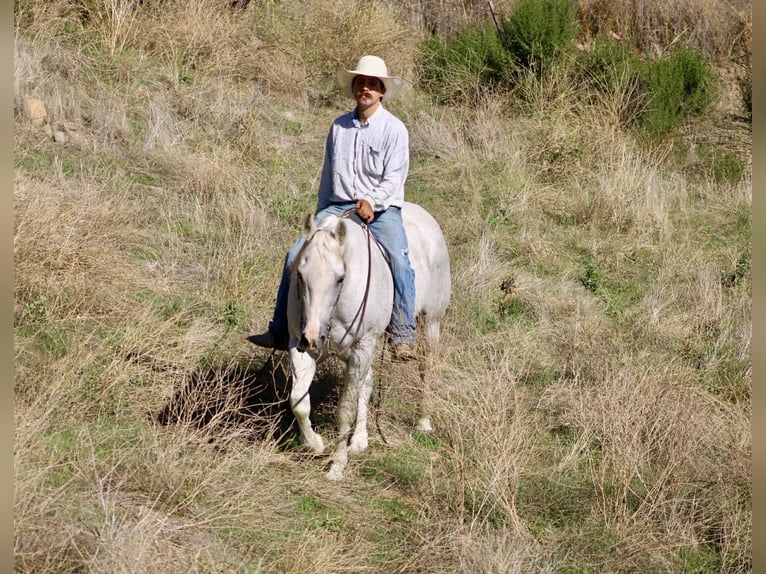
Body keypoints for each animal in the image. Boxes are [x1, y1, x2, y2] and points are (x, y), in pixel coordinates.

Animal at [285, 202, 450, 480]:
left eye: (340, 278)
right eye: (299, 274)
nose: (313, 338)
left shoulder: (361, 347)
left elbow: (344, 410)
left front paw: (337, 466)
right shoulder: (301, 346)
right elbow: (299, 402)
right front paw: (315, 444)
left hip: (430, 323)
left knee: (426, 369)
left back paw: (423, 422)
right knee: (368, 382)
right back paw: (360, 440)